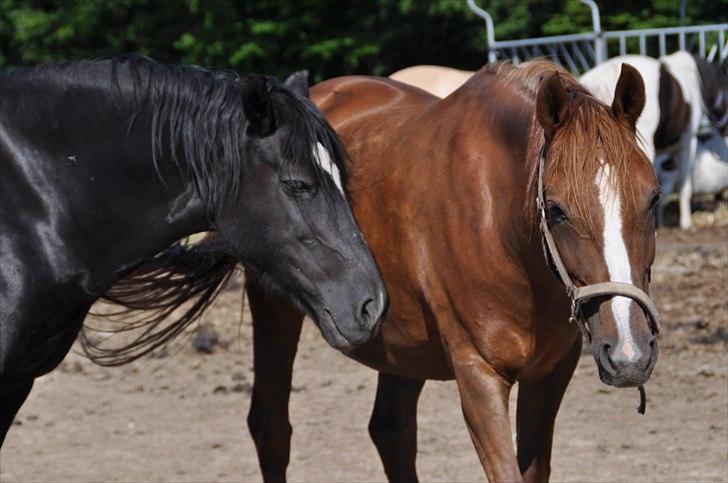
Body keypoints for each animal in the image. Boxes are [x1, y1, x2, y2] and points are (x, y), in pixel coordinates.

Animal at [243, 61, 660, 483]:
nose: (628, 354)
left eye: (654, 198)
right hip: (275, 309)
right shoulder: (479, 375)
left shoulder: (549, 375)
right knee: (271, 428)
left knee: (392, 431)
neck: (501, 226)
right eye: (556, 209)